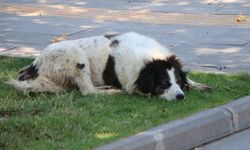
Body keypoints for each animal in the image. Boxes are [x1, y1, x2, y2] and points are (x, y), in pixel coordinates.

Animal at [7, 32, 210, 101]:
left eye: (177, 82)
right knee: (88, 91)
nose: (180, 96)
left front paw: (195, 84)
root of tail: (36, 64)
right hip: (77, 57)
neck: (149, 60)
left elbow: (188, 77)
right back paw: (111, 91)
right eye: (163, 84)